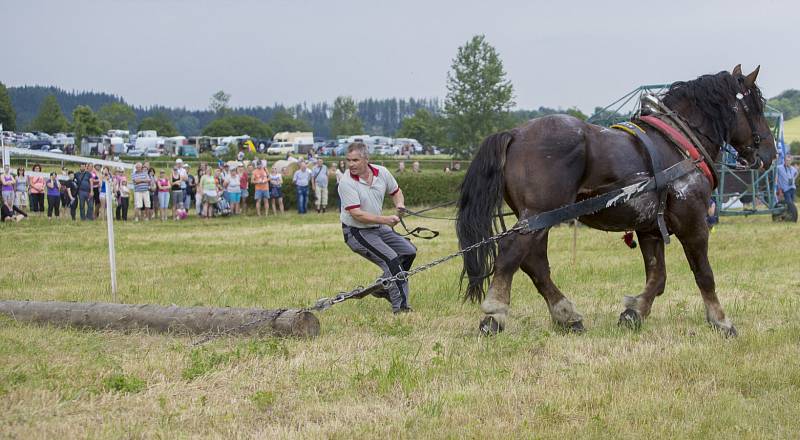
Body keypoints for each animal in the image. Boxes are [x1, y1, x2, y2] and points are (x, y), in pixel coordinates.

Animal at [456, 65, 776, 336]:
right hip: (538, 214)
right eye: (756, 107)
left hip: (538, 218)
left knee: (534, 262)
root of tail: (515, 133)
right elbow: (704, 274)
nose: (770, 155)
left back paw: (566, 316)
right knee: (513, 253)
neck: (680, 143)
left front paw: (634, 313)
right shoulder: (693, 222)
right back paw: (495, 314)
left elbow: (657, 277)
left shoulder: (650, 228)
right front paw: (721, 321)